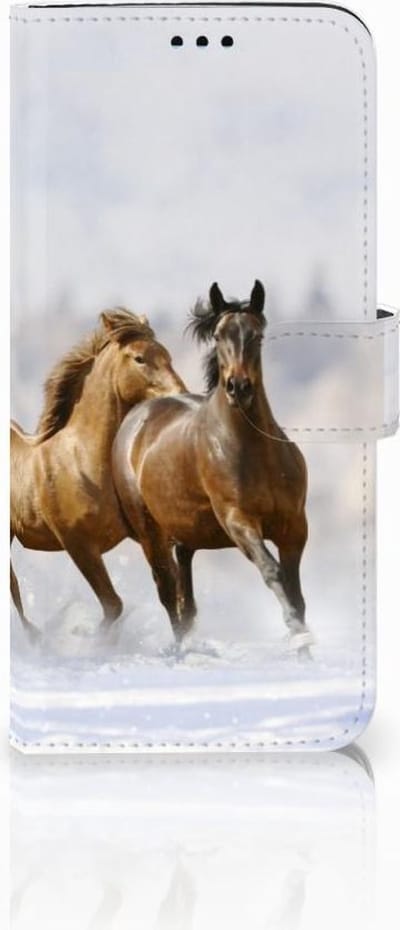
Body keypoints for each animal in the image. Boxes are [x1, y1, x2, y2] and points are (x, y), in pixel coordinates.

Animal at [11, 308, 186, 636]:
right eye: (139, 358)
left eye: (167, 354)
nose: (180, 394)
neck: (85, 462)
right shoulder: (78, 544)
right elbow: (113, 605)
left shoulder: (148, 534)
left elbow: (171, 591)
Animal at [112, 281, 313, 653]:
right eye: (219, 335)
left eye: (257, 335)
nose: (238, 387)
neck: (255, 452)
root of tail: (137, 416)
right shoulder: (238, 521)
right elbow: (272, 572)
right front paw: (297, 633)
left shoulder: (294, 526)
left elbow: (295, 590)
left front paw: (304, 647)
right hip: (150, 533)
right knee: (168, 592)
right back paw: (180, 650)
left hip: (185, 534)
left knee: (185, 595)